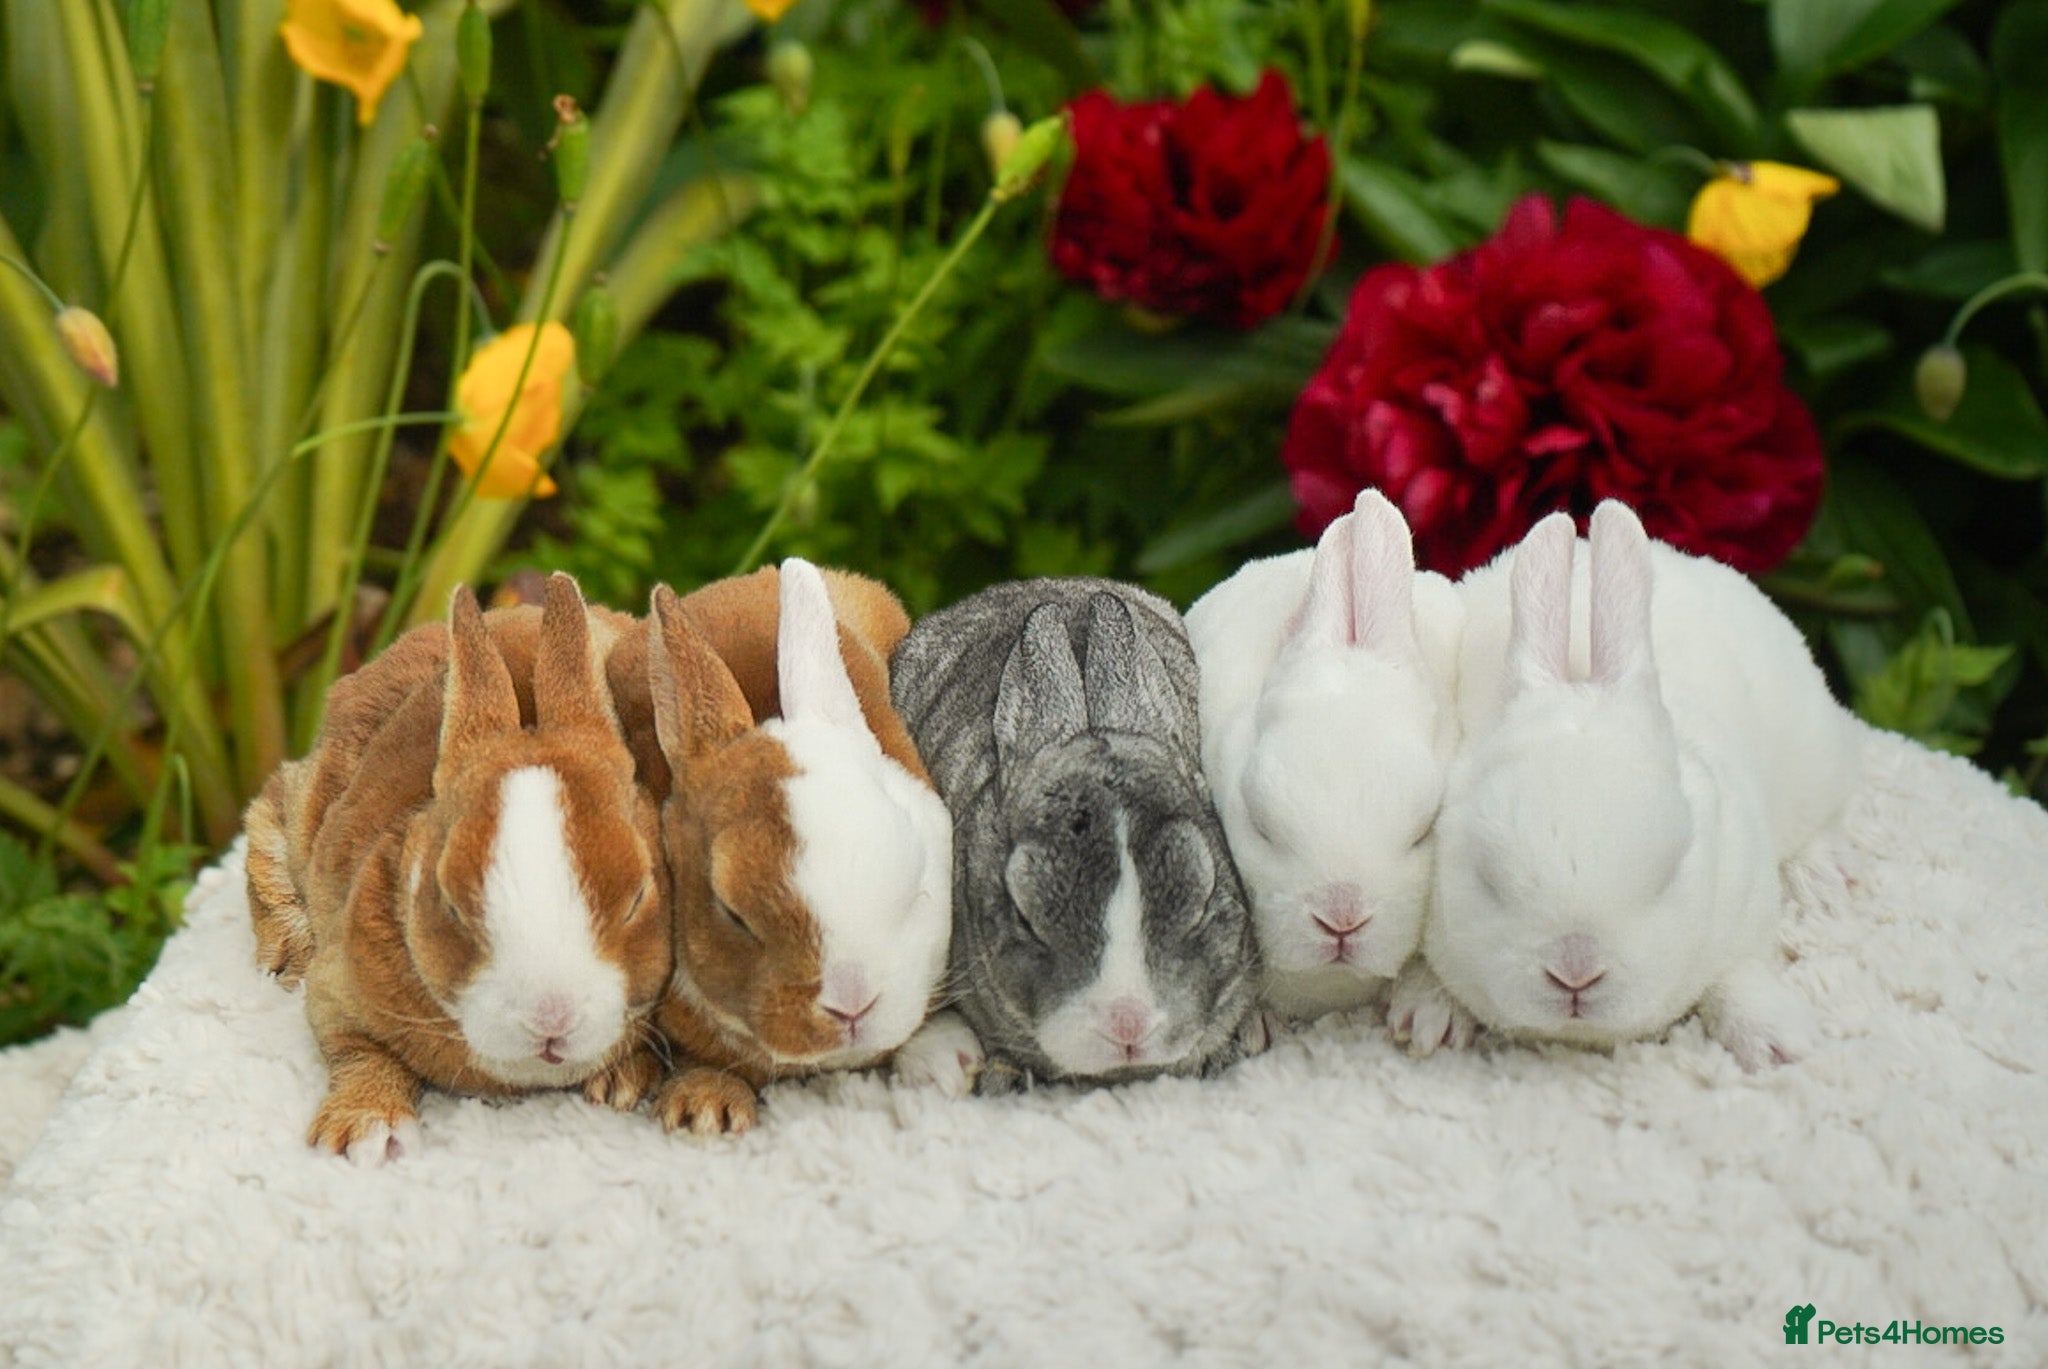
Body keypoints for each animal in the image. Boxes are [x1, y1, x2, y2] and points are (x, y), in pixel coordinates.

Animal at [247, 573, 672, 1164]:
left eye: (637, 898)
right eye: (449, 904)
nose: (551, 1019)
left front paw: (621, 1084)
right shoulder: (336, 992)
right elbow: (358, 1052)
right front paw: (365, 1131)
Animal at [1422, 501, 1862, 1070]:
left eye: (1669, 874)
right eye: (1487, 878)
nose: (1576, 971)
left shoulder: (1746, 909)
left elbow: (1737, 974)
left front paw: (1777, 1041)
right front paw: (1428, 1015)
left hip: (1815, 756)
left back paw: (1824, 877)